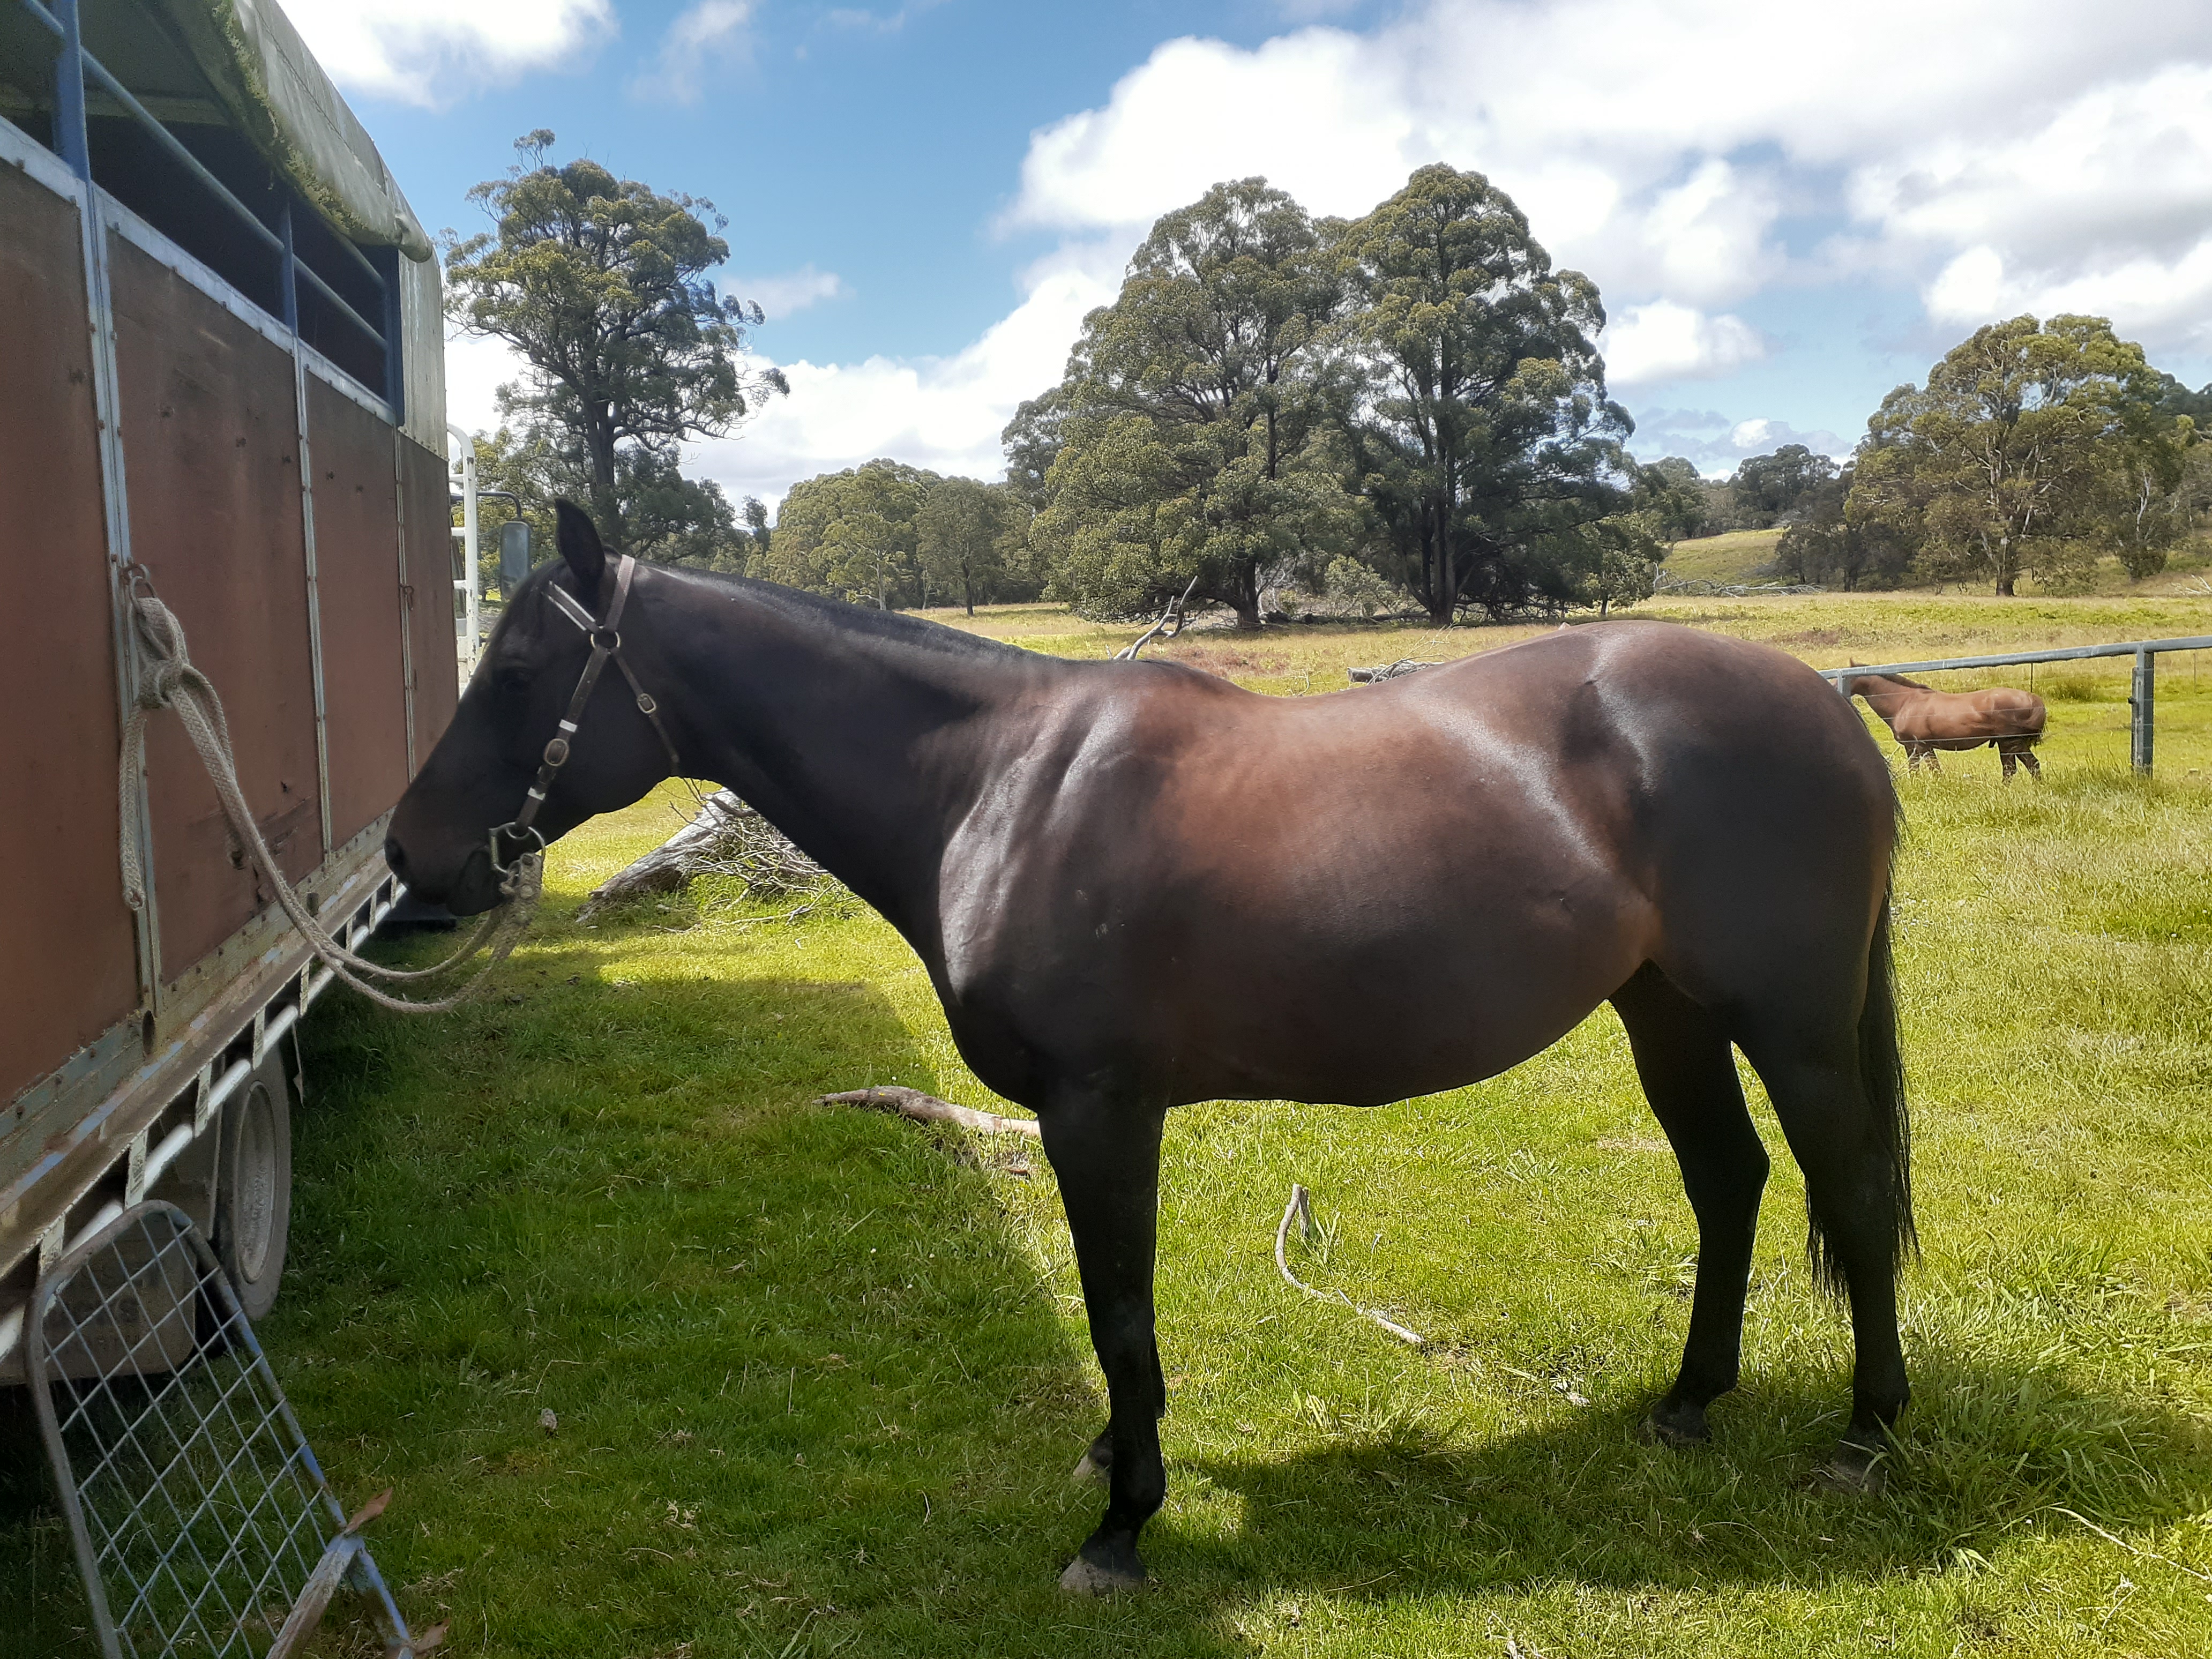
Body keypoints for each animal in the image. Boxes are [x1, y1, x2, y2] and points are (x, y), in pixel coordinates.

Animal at [386, 503, 1916, 1594]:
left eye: (514, 672)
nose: (410, 855)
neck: (998, 789)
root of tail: (1828, 702)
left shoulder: (1098, 1108)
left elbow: (1117, 1308)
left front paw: (1121, 1526)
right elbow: (1106, 1310)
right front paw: (1114, 1459)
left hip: (1789, 1025)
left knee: (1845, 1190)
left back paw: (1866, 1437)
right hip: (1665, 1010)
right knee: (1727, 1182)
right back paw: (1687, 1405)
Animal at [1840, 666, 2046, 780]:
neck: (1905, 702)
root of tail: (2033, 699)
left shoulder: (1922, 746)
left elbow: (1934, 771)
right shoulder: (1915, 747)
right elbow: (1917, 771)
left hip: (2011, 743)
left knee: (2021, 768)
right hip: (2011, 744)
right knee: (2024, 767)